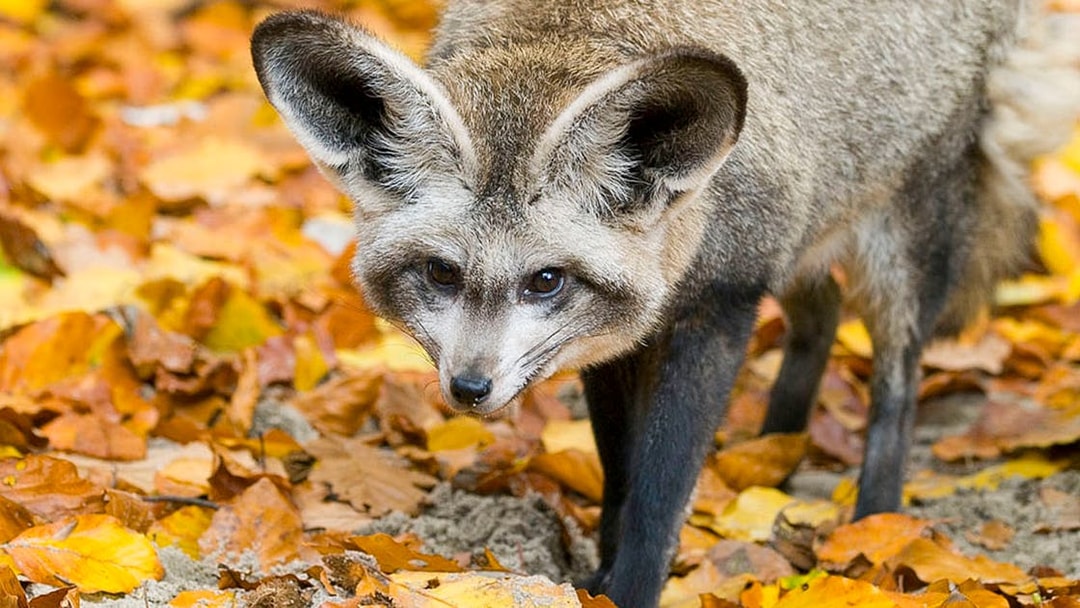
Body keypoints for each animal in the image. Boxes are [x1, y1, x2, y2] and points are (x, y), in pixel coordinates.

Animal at [251, 2, 1077, 606]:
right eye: (441, 274)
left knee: (895, 383)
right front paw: (599, 581)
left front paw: (633, 592)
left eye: (544, 281)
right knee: (819, 318)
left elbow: (659, 494)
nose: (470, 388)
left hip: (893, 247)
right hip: (809, 229)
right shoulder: (618, 341)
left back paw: (877, 526)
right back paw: (772, 459)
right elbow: (620, 482)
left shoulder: (723, 302)